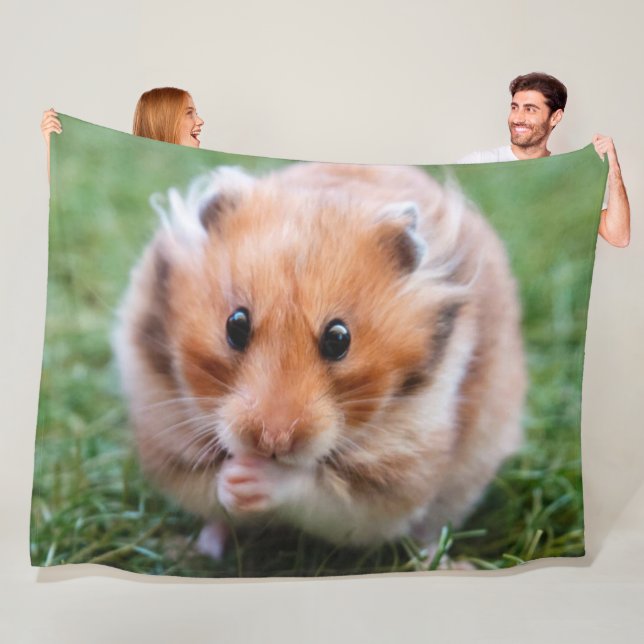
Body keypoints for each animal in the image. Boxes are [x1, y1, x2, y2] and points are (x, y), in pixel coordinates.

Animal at [114, 162, 525, 555]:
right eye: (236, 325)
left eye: (338, 339)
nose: (272, 441)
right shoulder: (166, 432)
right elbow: (207, 485)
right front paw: (233, 480)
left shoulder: (395, 476)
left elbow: (318, 492)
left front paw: (253, 479)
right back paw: (204, 548)